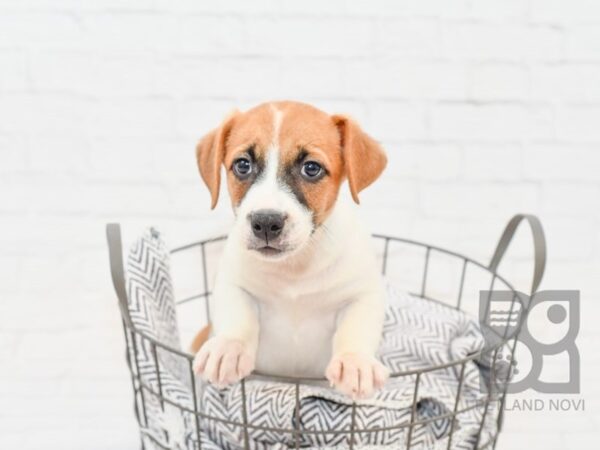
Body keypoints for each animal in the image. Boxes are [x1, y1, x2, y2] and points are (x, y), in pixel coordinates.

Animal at [192, 101, 390, 398]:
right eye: (242, 165)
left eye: (311, 168)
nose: (265, 222)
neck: (295, 268)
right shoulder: (233, 284)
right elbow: (237, 315)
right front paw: (228, 347)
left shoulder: (362, 294)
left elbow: (356, 327)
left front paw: (355, 363)